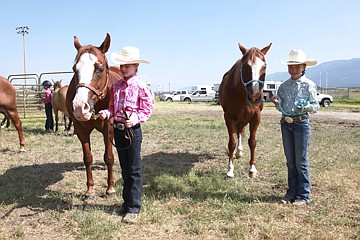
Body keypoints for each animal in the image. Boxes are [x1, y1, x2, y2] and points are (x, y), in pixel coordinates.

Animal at [67, 33, 122, 199]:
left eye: (100, 68)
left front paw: (110, 189)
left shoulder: (109, 128)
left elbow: (109, 157)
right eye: (74, 69)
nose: (79, 107)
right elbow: (88, 158)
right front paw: (90, 190)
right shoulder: (80, 129)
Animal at [218, 42, 272, 178]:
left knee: (240, 131)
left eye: (264, 66)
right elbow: (231, 142)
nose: (254, 96)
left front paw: (252, 168)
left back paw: (239, 151)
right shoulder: (229, 117)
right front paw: (230, 169)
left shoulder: (256, 117)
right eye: (245, 66)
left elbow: (252, 142)